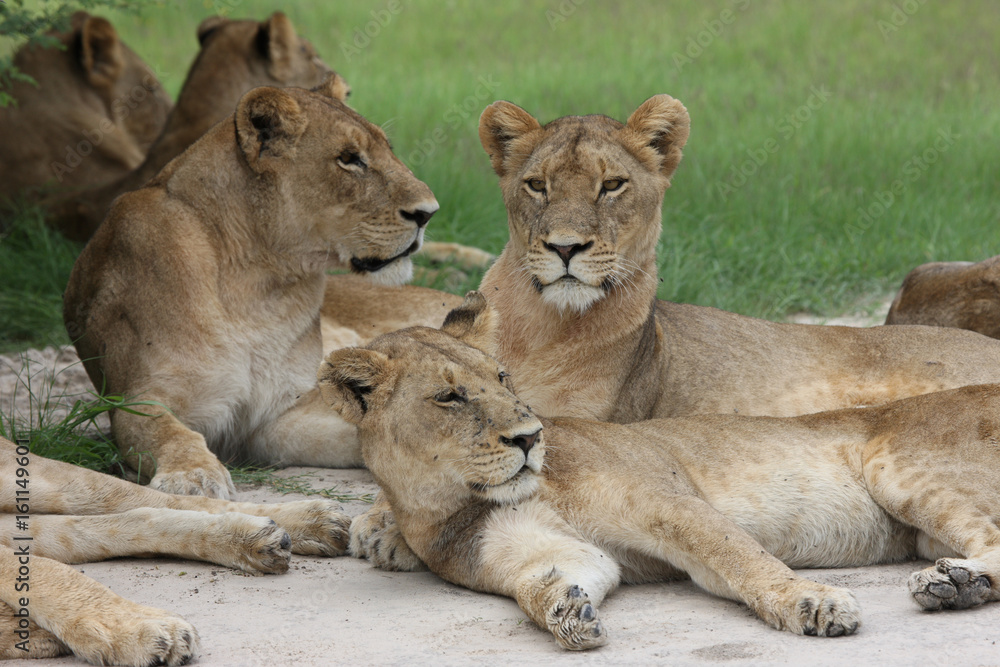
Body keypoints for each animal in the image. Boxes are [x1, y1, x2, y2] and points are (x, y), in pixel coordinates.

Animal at [0, 435, 350, 664]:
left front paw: (131, 629)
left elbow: (51, 573)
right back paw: (259, 539)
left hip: (41, 480)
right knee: (133, 517)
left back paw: (312, 520)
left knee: (158, 499)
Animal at [63, 77, 438, 499]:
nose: (429, 212)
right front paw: (193, 475)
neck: (260, 284)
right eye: (349, 158)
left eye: (387, 150)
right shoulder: (137, 399)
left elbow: (366, 430)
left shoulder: (279, 413)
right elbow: (168, 432)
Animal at [319, 292, 1000, 650]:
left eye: (502, 378)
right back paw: (958, 586)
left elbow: (737, 556)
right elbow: (545, 581)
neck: (454, 500)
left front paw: (811, 602)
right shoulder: (548, 551)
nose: (530, 437)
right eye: (450, 398)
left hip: (898, 465)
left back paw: (952, 585)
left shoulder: (663, 500)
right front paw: (565, 611)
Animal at [351, 95, 1000, 570]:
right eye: (537, 185)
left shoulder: (580, 430)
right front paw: (376, 521)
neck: (542, 325)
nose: (565, 247)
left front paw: (386, 532)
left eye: (612, 185)